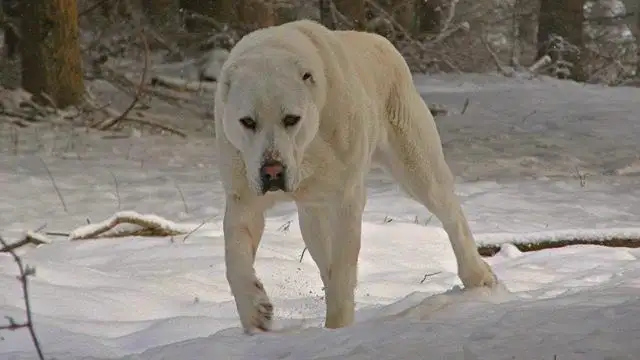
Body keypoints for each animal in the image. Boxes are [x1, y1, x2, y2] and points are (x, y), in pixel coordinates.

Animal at [212, 19, 498, 334]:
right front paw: (255, 311)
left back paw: (478, 275)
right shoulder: (243, 197)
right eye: (247, 122)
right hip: (312, 213)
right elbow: (234, 257)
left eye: (291, 119)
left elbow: (343, 269)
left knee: (451, 214)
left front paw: (338, 329)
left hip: (417, 164)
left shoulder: (345, 198)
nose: (272, 170)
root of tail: (380, 42)